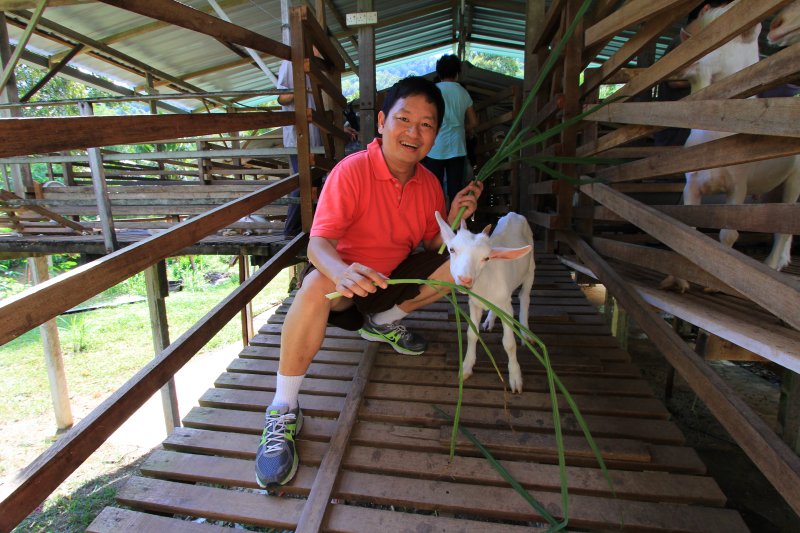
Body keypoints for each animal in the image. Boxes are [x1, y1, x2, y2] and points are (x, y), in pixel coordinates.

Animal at [434, 210, 536, 392]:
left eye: (486, 258)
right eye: (452, 249)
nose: (465, 279)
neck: (485, 283)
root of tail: (513, 213)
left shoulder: (506, 308)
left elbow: (509, 343)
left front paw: (515, 377)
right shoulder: (474, 304)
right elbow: (471, 334)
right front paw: (466, 367)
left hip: (530, 268)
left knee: (525, 296)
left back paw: (525, 332)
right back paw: (489, 321)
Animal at [664, 1, 800, 290]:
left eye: (730, 34)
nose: (684, 45)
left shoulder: (738, 185)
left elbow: (728, 234)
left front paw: (711, 283)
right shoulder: (692, 184)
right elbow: (688, 227)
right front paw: (679, 279)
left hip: (796, 180)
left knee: (784, 227)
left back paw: (770, 266)